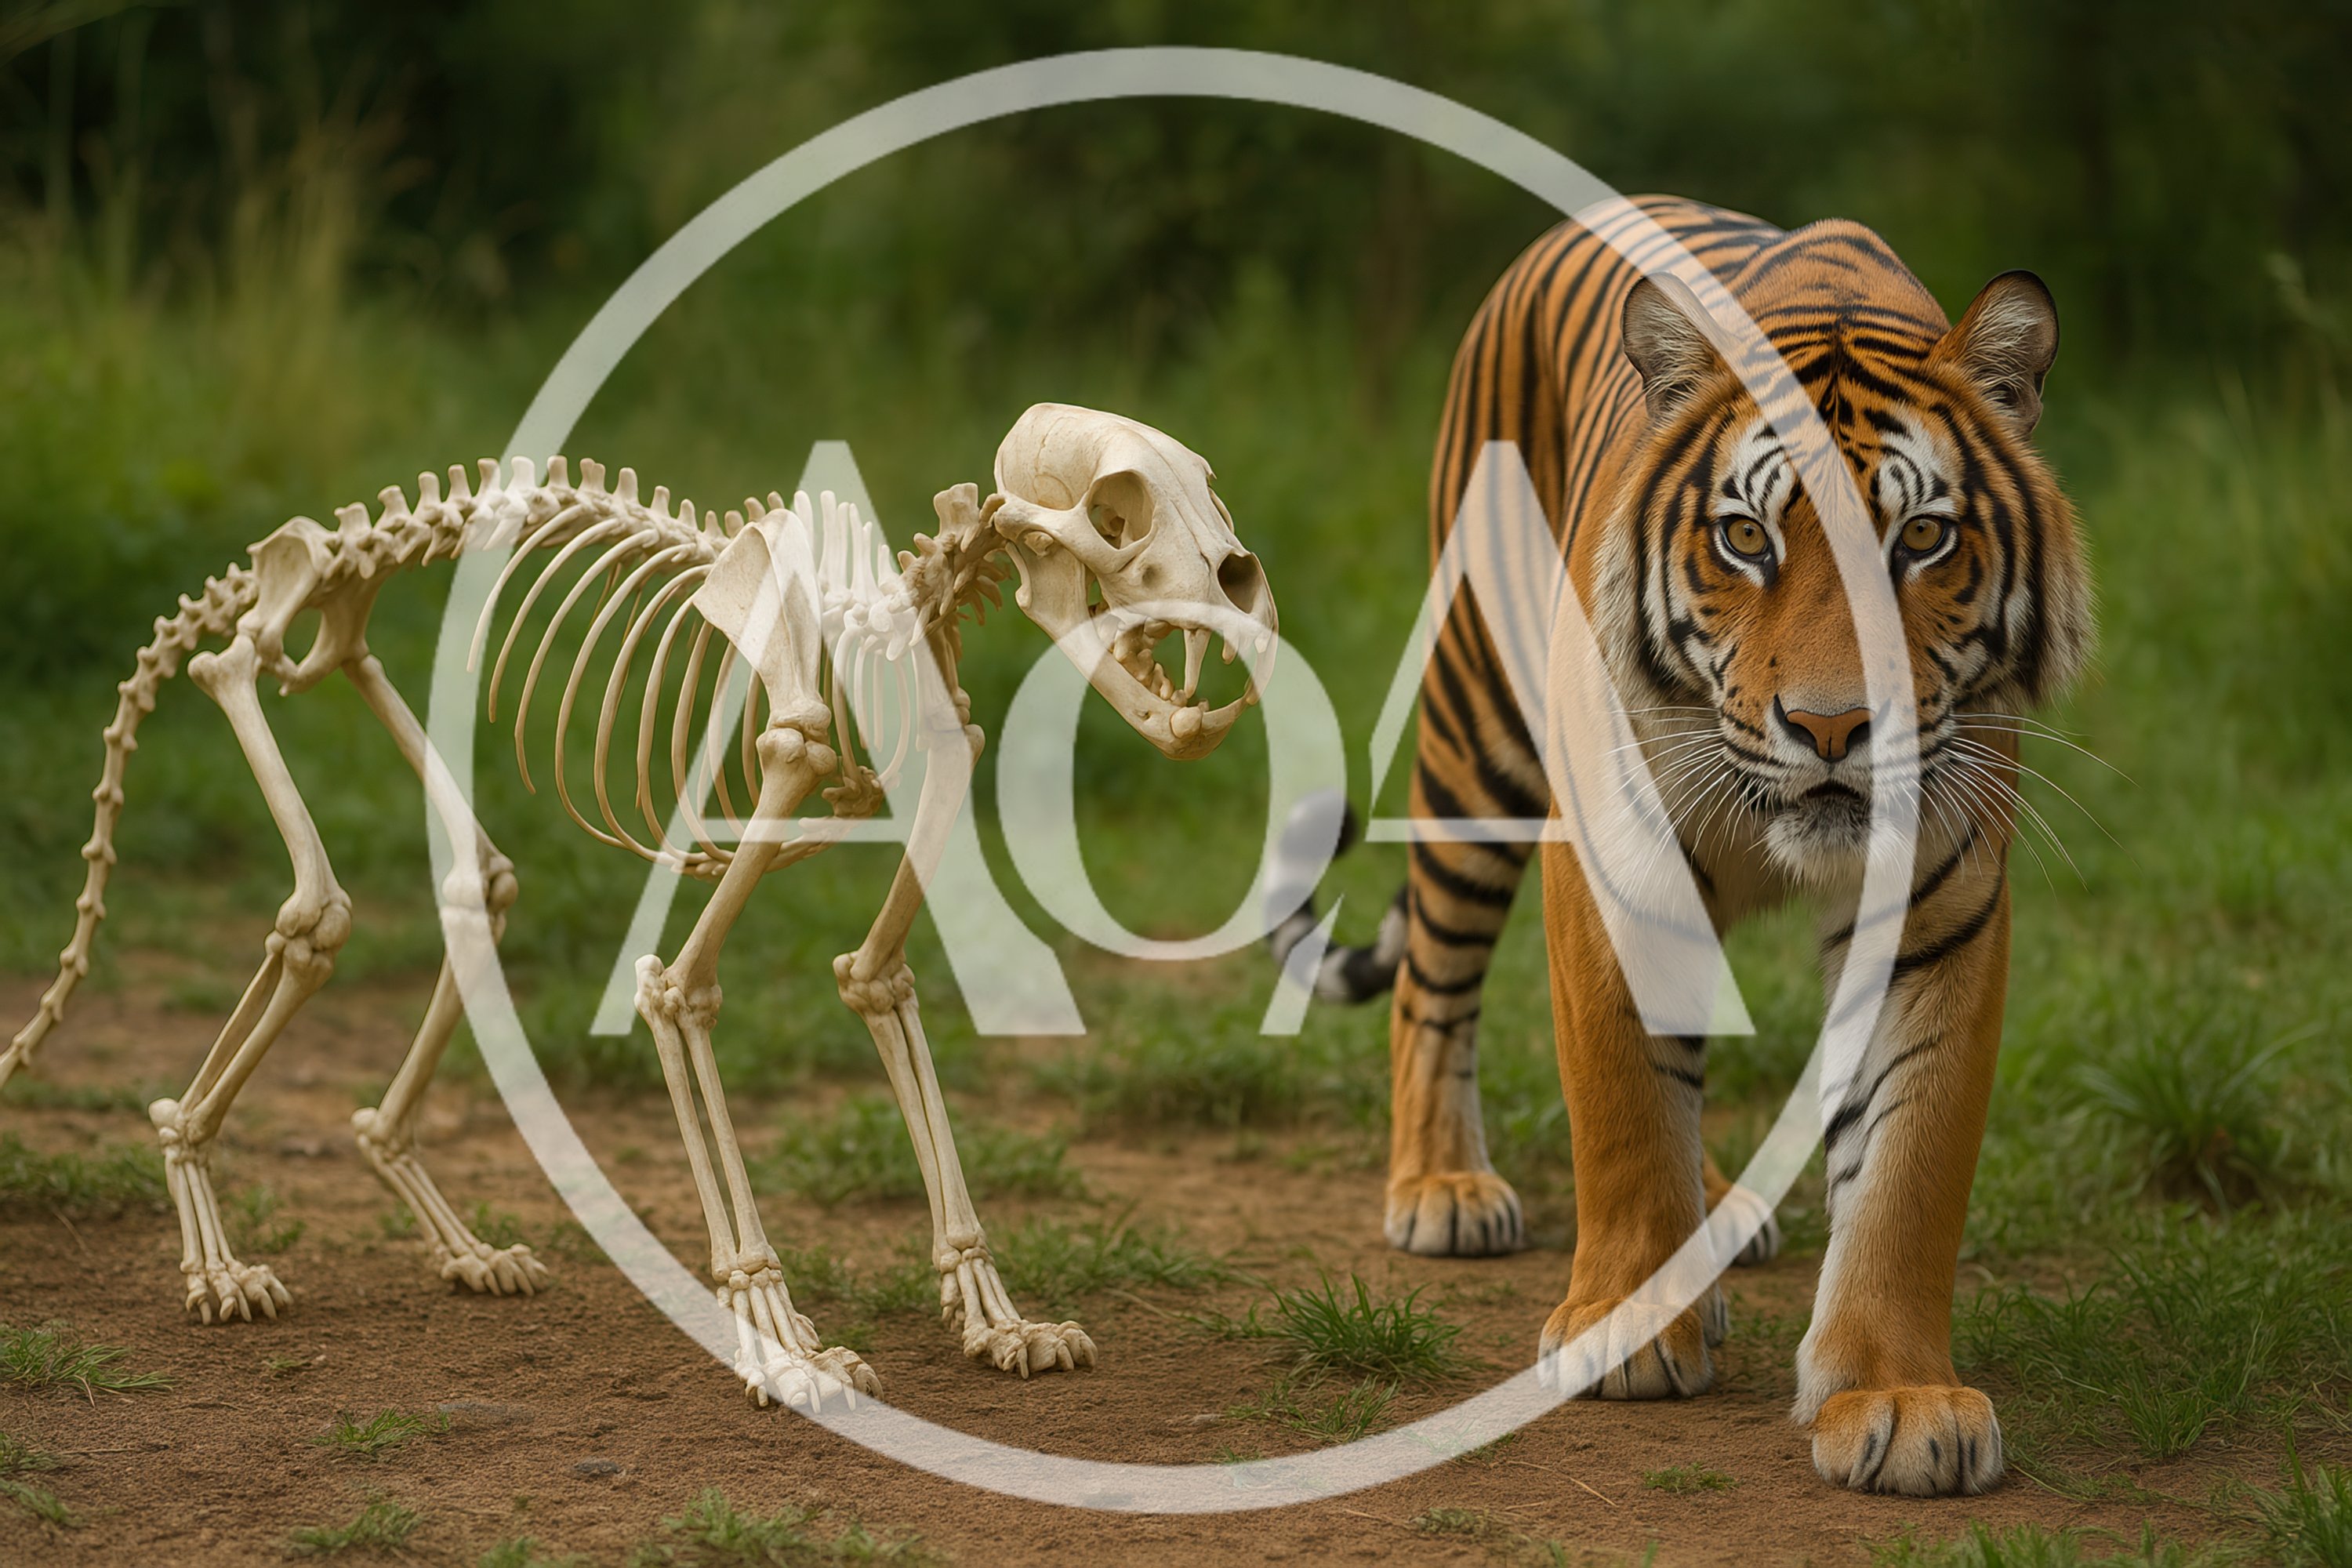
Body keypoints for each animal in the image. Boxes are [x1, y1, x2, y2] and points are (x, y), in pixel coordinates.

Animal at [1270, 196, 2091, 1495]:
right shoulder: (1609, 855)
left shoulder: (1939, 898)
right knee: (1433, 975)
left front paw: (1897, 1398)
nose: (1833, 728)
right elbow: (1622, 1095)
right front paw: (1627, 1327)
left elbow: (1908, 1161)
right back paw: (1442, 1186)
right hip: (1476, 731)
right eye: (1747, 538)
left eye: (1921, 538)